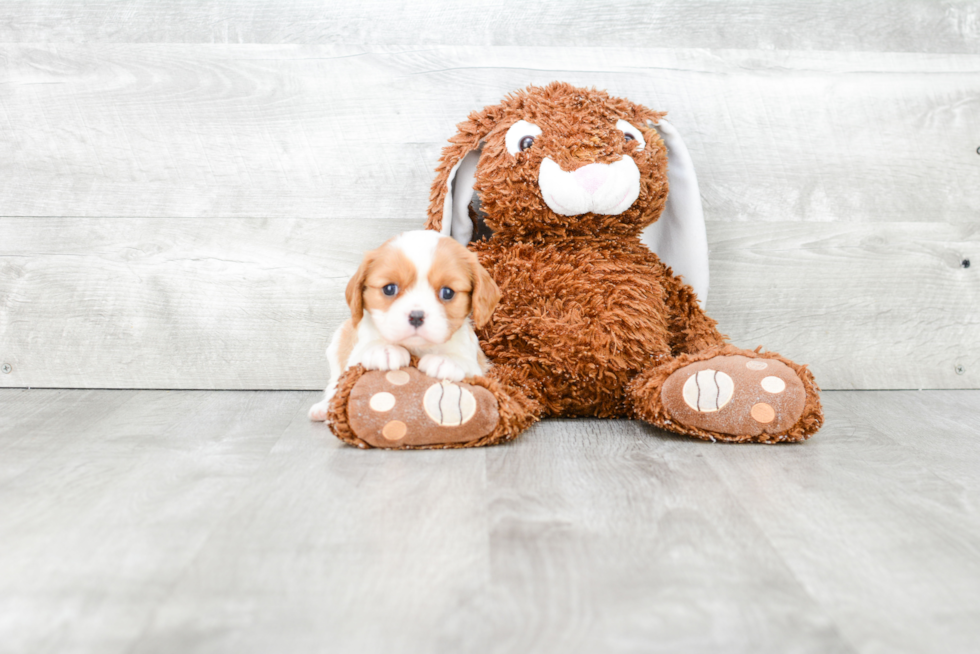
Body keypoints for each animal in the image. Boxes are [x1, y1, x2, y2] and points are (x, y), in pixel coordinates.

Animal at [310, 233, 502, 422]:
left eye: (447, 292)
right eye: (389, 289)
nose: (416, 316)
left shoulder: (478, 365)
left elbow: (466, 363)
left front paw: (446, 360)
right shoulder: (354, 355)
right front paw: (384, 349)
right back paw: (324, 408)